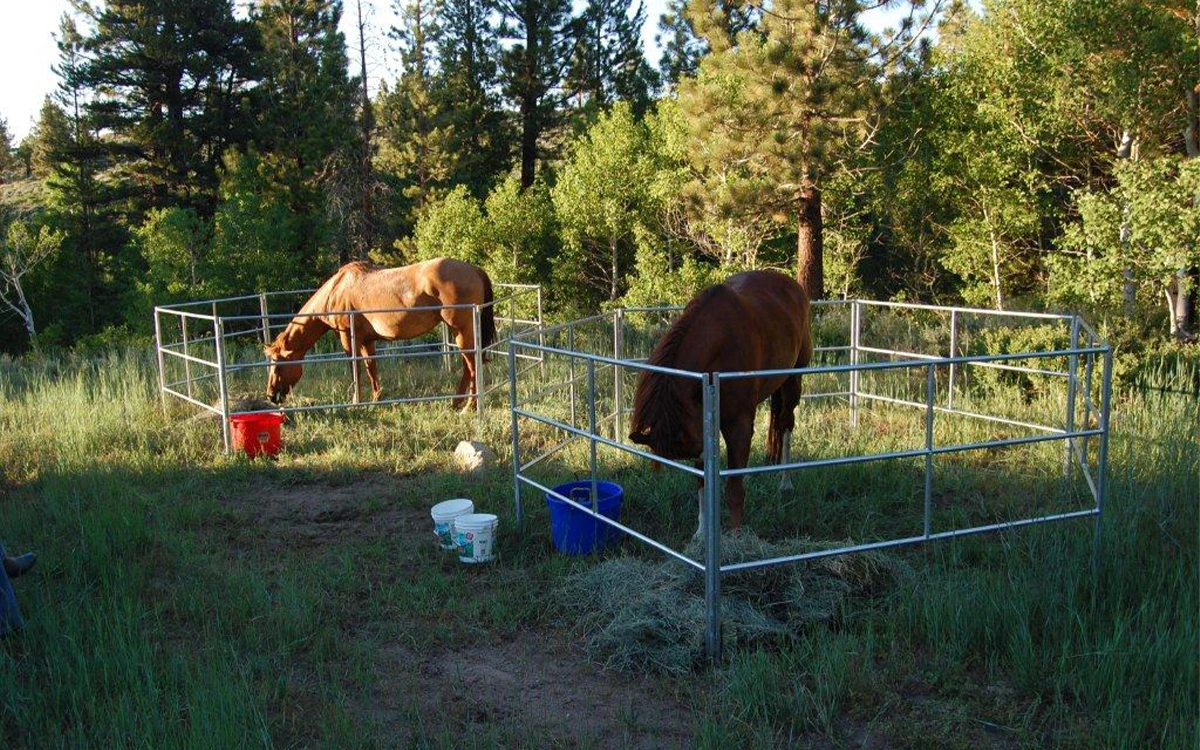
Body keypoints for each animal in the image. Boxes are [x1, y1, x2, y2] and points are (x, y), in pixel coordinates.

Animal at [265, 256, 494, 410]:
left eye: (277, 366)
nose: (270, 396)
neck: (336, 291)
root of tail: (474, 269)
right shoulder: (368, 341)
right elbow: (371, 368)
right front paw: (376, 399)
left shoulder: (349, 340)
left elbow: (355, 369)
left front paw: (356, 402)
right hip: (460, 332)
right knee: (468, 366)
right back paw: (456, 403)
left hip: (462, 330)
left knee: (473, 365)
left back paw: (469, 406)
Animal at [628, 268, 816, 537]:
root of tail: (793, 286)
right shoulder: (701, 422)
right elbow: (703, 483)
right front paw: (701, 533)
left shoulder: (738, 425)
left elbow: (734, 491)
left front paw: (736, 537)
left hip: (793, 381)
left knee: (786, 425)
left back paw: (785, 483)